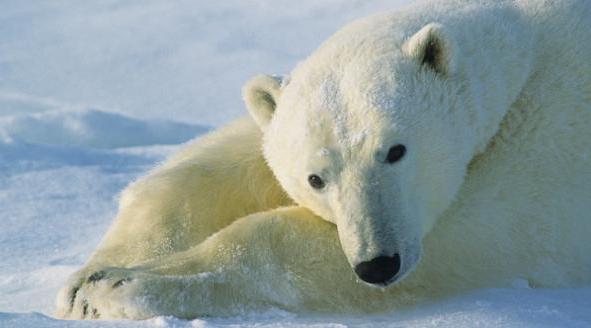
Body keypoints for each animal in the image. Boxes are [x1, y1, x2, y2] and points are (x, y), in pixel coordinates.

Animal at [55, 0, 591, 320]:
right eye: (316, 178)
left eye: (395, 150)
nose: (377, 264)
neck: (528, 49)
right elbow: (227, 163)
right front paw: (89, 279)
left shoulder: (551, 147)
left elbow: (480, 232)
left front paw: (124, 285)